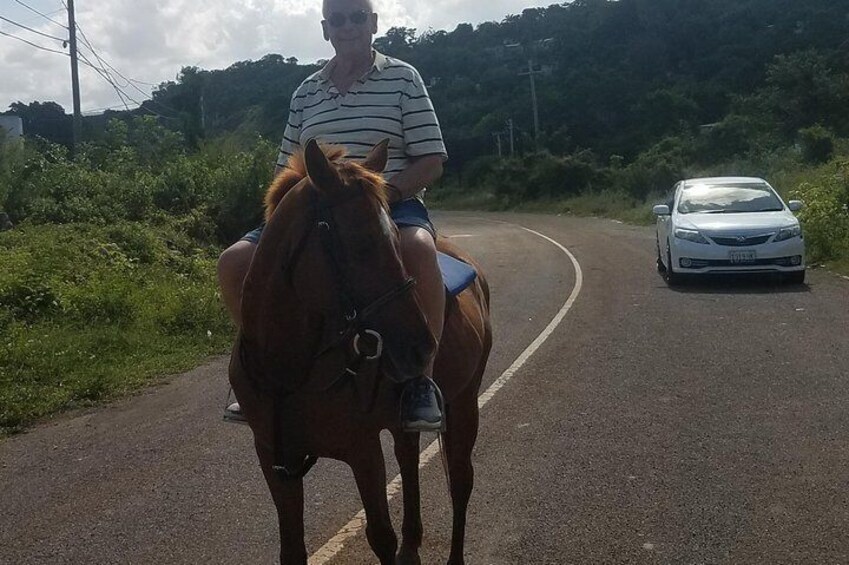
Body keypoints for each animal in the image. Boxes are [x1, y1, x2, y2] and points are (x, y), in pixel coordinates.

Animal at [229, 138, 494, 564]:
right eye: (363, 243)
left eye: (395, 241)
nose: (421, 346)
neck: (292, 370)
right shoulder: (274, 457)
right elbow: (292, 549)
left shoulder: (362, 450)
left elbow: (380, 535)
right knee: (410, 461)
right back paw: (412, 546)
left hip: (465, 402)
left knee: (460, 482)